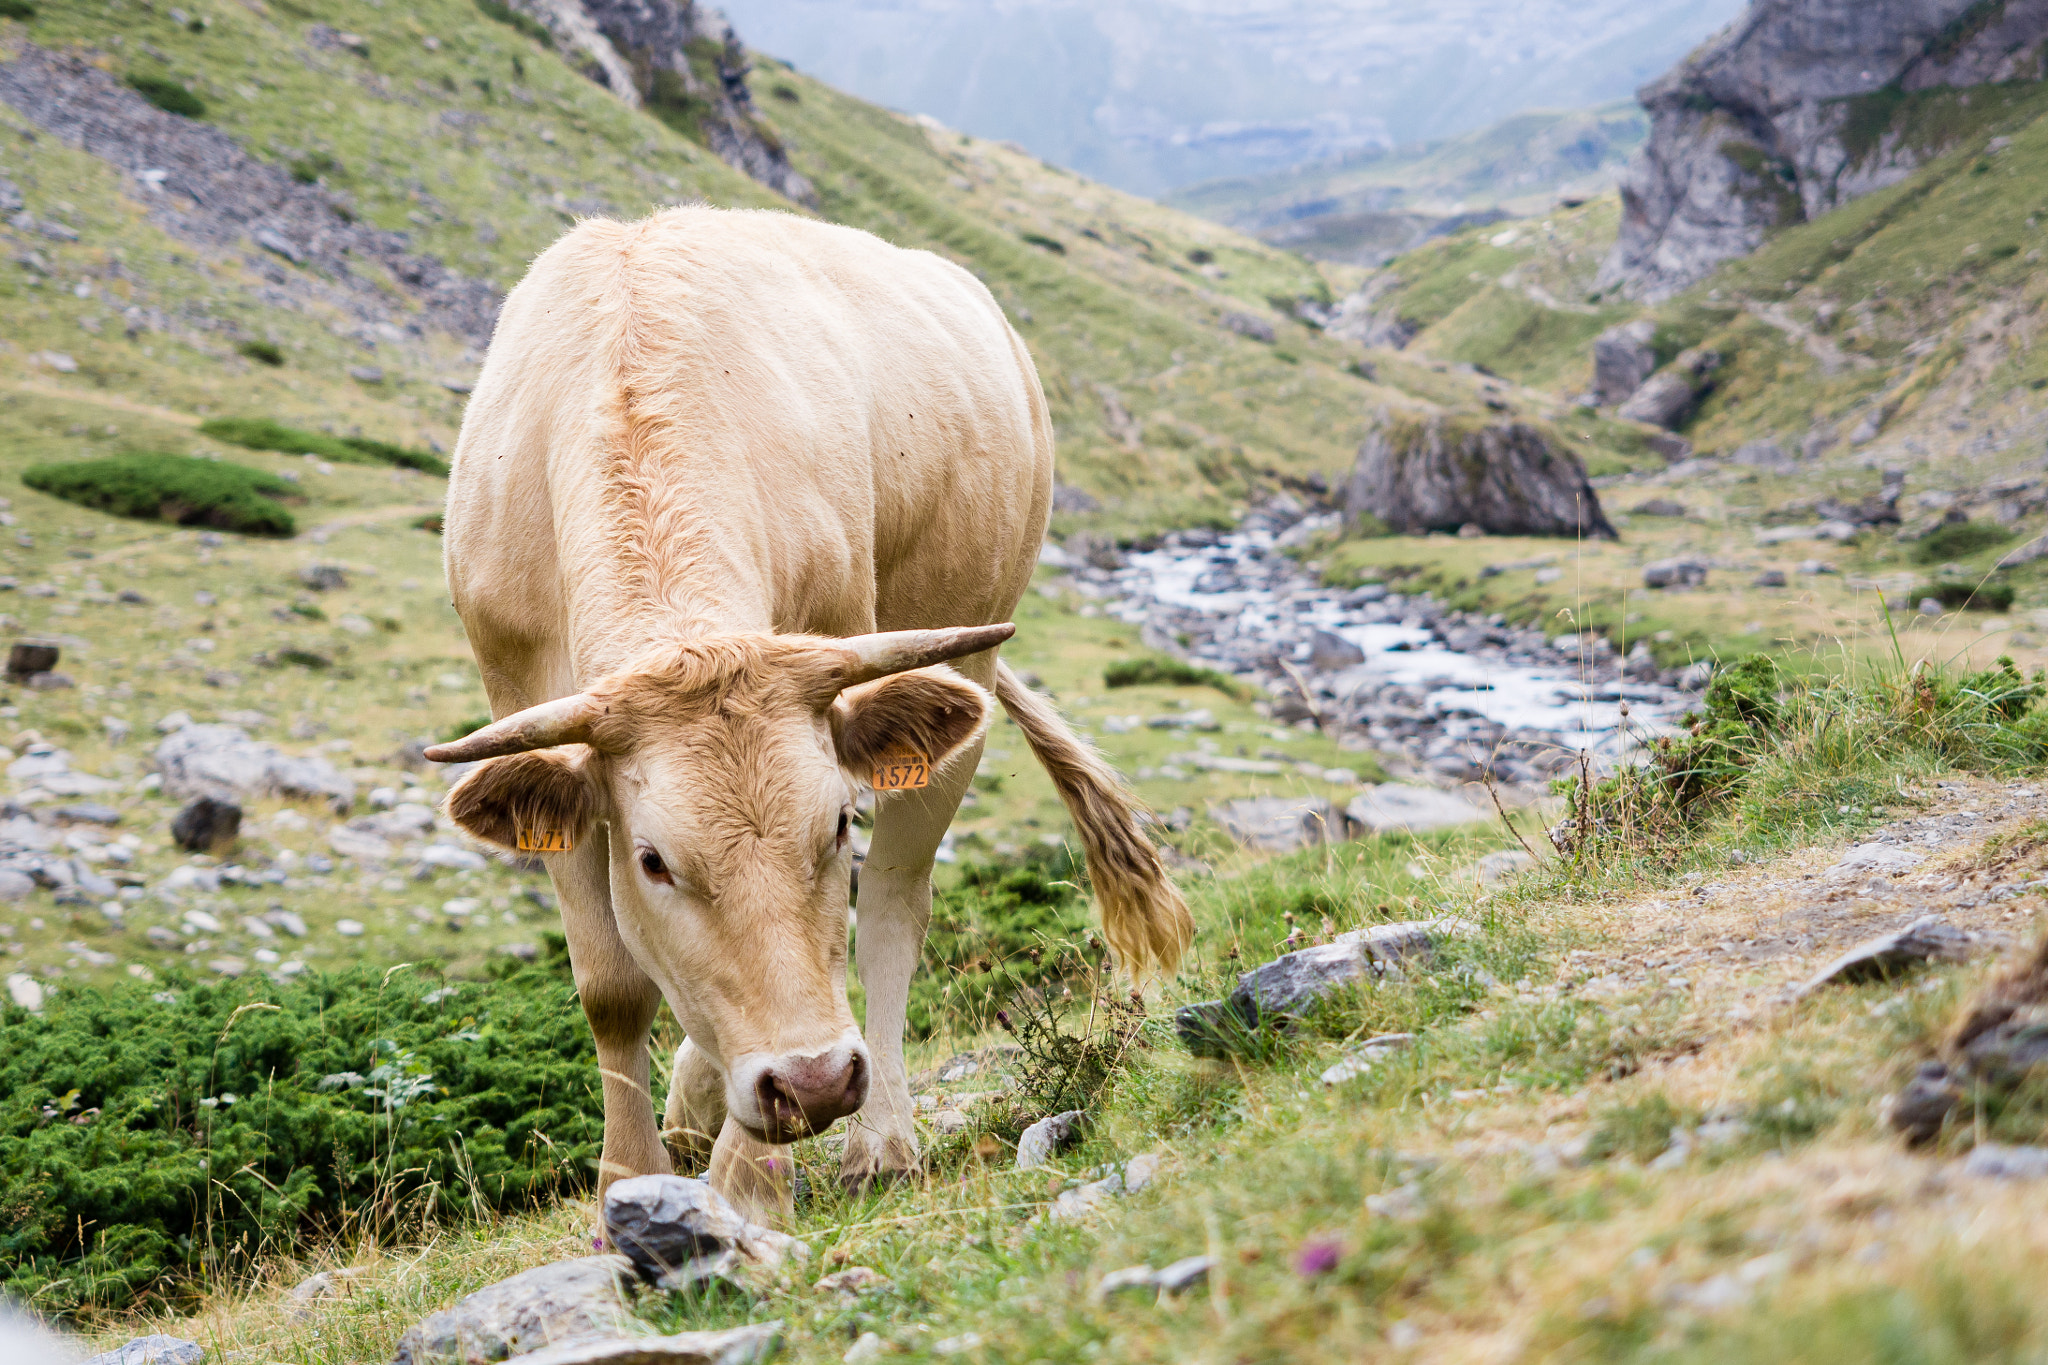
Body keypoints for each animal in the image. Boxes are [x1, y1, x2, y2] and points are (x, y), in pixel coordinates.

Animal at [428, 205, 1196, 1227]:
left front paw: (745, 1189)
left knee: (894, 911)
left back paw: (879, 1140)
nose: (816, 1081)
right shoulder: (524, 705)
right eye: (654, 861)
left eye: (835, 823)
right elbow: (612, 985)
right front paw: (628, 1179)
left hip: (962, 670)